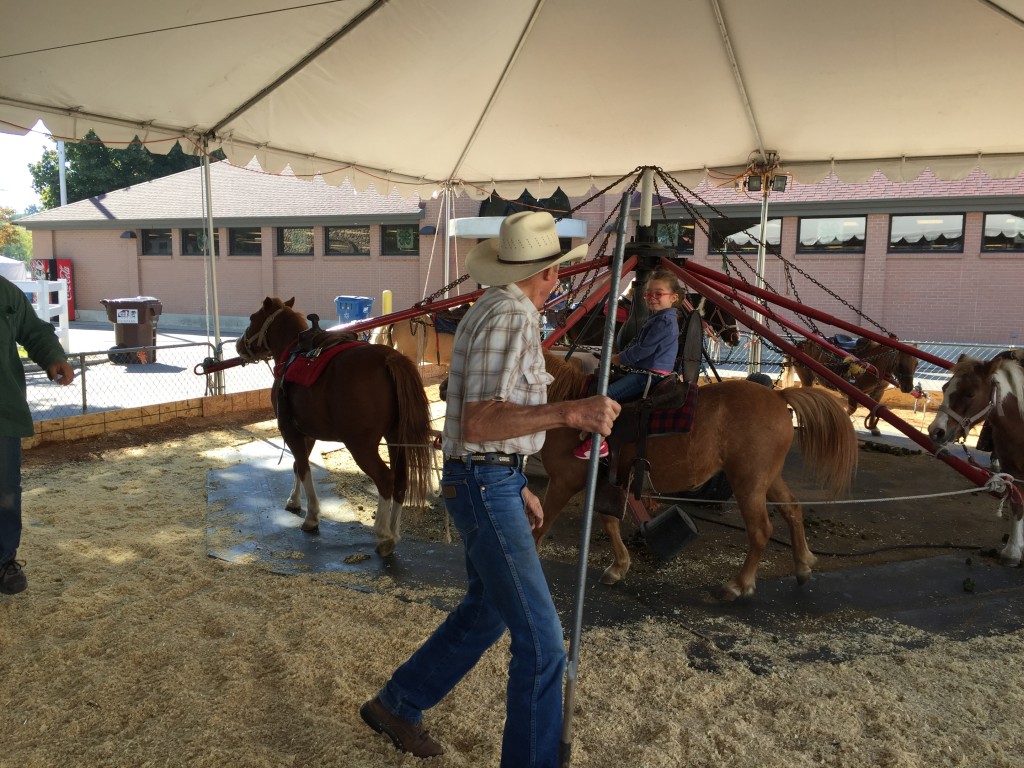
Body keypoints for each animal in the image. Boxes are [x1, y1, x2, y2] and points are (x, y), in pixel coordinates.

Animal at [236, 296, 432, 557]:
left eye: (252, 318)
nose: (239, 344)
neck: (293, 353)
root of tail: (389, 358)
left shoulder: (290, 431)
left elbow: (304, 468)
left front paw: (311, 516)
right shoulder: (306, 433)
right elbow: (297, 465)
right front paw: (294, 501)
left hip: (361, 445)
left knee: (385, 478)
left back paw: (383, 535)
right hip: (395, 437)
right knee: (400, 480)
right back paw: (394, 533)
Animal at [540, 358, 860, 606]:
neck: (568, 406)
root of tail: (779, 398)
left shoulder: (562, 482)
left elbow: (541, 525)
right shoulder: (606, 482)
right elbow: (609, 522)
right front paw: (619, 567)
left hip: (748, 482)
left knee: (761, 531)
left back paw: (737, 585)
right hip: (767, 478)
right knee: (792, 510)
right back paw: (803, 565)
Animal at [782, 339, 921, 436]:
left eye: (916, 364)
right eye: (900, 364)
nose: (908, 388)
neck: (875, 364)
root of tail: (800, 343)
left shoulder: (878, 391)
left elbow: (874, 409)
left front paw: (873, 428)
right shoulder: (855, 390)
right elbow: (852, 409)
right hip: (806, 376)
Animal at [929, 354, 1024, 565]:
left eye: (970, 394)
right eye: (944, 388)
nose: (936, 431)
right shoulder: (1013, 470)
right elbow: (1016, 504)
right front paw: (1013, 551)